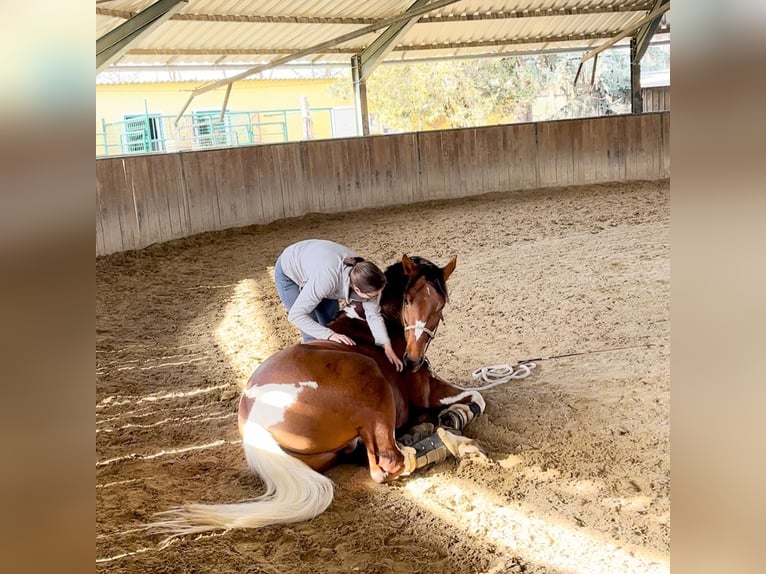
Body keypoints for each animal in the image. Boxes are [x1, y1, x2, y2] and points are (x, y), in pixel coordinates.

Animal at [150, 255, 486, 544]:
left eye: (440, 305)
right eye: (407, 300)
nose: (413, 360)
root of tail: (255, 420)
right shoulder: (427, 391)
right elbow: (478, 398)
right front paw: (455, 416)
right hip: (371, 384)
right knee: (388, 463)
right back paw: (445, 442)